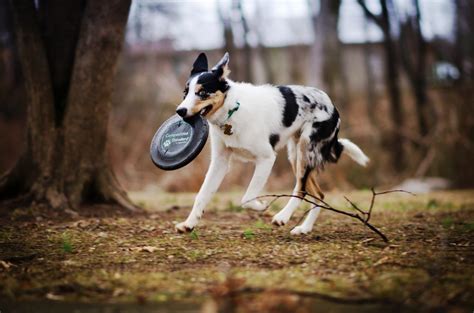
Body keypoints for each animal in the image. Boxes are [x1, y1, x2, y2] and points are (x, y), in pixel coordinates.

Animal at [172, 52, 368, 234]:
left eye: (202, 93)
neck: (232, 110)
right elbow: (202, 195)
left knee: (302, 189)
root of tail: (333, 108)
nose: (180, 111)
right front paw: (189, 224)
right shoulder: (219, 162)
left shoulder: (266, 158)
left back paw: (283, 217)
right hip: (296, 155)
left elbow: (247, 197)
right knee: (318, 194)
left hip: (306, 150)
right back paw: (304, 228)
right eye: (185, 93)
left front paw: (262, 206)